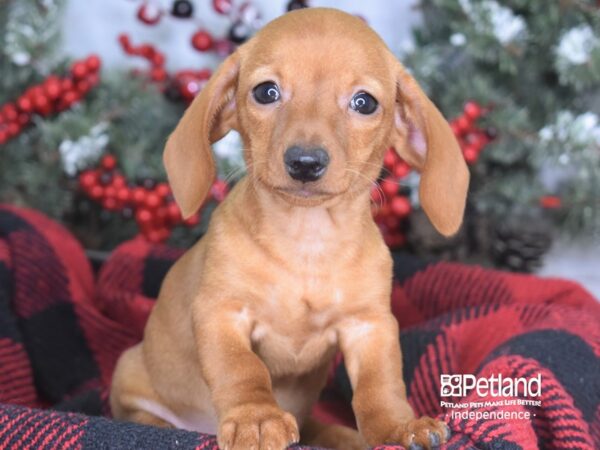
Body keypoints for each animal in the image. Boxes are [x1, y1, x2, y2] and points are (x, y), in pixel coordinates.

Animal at [111, 7, 468, 450]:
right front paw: (257, 417)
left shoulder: (371, 327)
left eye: (364, 102)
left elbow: (380, 386)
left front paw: (398, 427)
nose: (305, 162)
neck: (306, 242)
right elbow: (242, 368)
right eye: (266, 92)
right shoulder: (221, 313)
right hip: (128, 373)